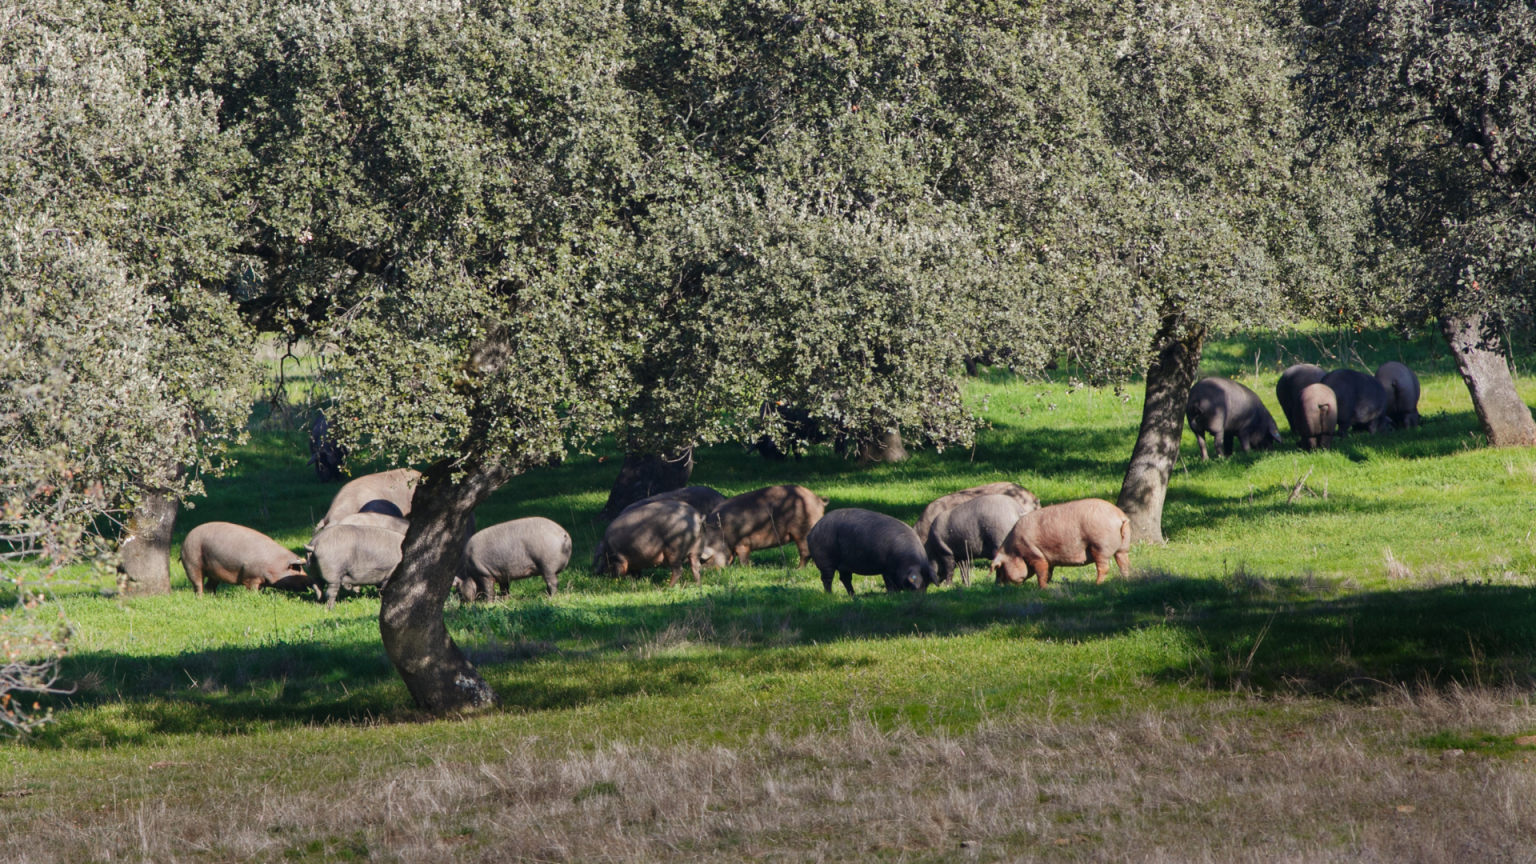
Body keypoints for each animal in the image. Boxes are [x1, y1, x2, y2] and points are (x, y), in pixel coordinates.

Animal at [178, 522, 308, 596]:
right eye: (297, 569)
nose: (310, 580)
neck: (274, 563)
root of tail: (185, 540)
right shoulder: (251, 577)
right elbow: (253, 590)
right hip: (191, 563)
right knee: (198, 584)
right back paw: (200, 599)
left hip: (213, 573)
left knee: (210, 586)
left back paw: (213, 598)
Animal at [804, 507, 933, 596]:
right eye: (914, 586)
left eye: (927, 584)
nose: (921, 596)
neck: (905, 560)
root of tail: (811, 533)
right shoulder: (887, 567)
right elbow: (889, 582)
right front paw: (892, 595)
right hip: (824, 558)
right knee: (826, 579)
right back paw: (830, 595)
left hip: (845, 564)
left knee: (845, 579)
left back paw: (854, 596)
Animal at [995, 495, 1130, 587]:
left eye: (1000, 568)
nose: (997, 586)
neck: (1014, 550)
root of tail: (1119, 516)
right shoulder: (1047, 558)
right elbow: (1048, 572)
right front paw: (1049, 585)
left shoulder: (1033, 552)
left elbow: (1041, 571)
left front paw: (1042, 588)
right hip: (1123, 546)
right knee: (1124, 563)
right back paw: (1125, 580)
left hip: (1100, 545)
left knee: (1104, 568)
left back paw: (1096, 584)